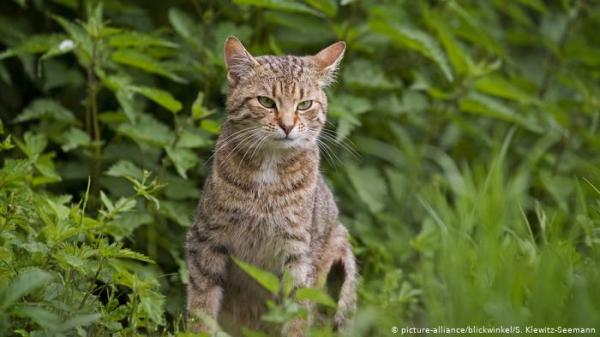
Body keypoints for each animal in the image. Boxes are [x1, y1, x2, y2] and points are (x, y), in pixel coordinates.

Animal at [188, 36, 356, 336]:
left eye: (304, 104)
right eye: (266, 101)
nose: (287, 126)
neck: (268, 173)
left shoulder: (299, 256)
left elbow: (297, 312)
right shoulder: (206, 238)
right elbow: (201, 305)